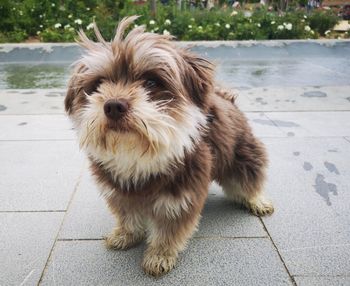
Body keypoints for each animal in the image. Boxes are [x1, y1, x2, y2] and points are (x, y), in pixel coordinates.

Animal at [65, 16, 274, 278]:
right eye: (99, 83)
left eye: (151, 82)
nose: (113, 106)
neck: (137, 155)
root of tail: (226, 98)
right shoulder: (118, 190)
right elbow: (127, 216)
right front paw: (126, 235)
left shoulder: (179, 196)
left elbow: (168, 231)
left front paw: (159, 256)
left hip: (242, 154)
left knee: (249, 179)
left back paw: (257, 201)